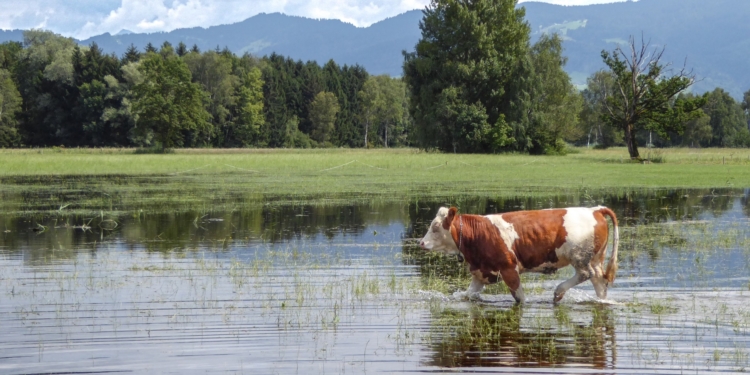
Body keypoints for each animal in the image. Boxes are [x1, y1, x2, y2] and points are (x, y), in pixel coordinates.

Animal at [420, 207, 620, 304]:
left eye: (435, 227)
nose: (421, 243)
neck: (478, 234)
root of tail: (594, 210)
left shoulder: (509, 268)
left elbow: (520, 299)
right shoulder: (481, 273)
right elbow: (467, 296)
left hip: (579, 257)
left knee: (586, 274)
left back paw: (558, 292)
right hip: (595, 259)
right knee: (599, 281)